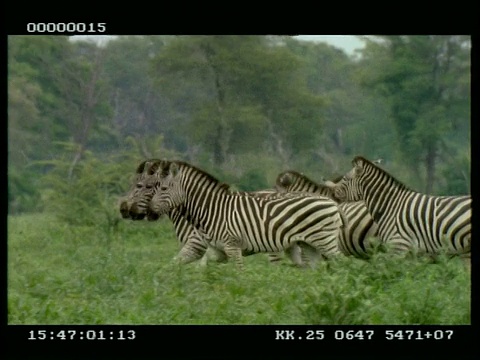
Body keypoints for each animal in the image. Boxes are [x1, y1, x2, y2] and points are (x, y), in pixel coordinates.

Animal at [144, 160, 346, 268]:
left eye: (162, 188)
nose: (149, 211)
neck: (212, 208)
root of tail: (333, 203)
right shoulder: (217, 250)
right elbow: (200, 269)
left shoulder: (232, 246)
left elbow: (238, 274)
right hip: (308, 244)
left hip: (324, 240)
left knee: (343, 263)